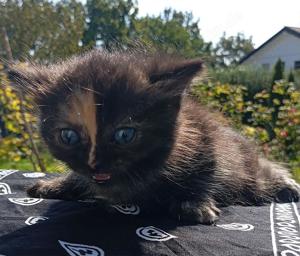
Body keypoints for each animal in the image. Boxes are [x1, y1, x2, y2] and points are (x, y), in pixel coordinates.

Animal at [8, 50, 300, 224]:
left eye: (125, 134)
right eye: (68, 136)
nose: (95, 164)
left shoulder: (206, 138)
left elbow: (209, 171)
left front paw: (194, 203)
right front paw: (55, 185)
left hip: (248, 166)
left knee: (262, 174)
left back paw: (286, 185)